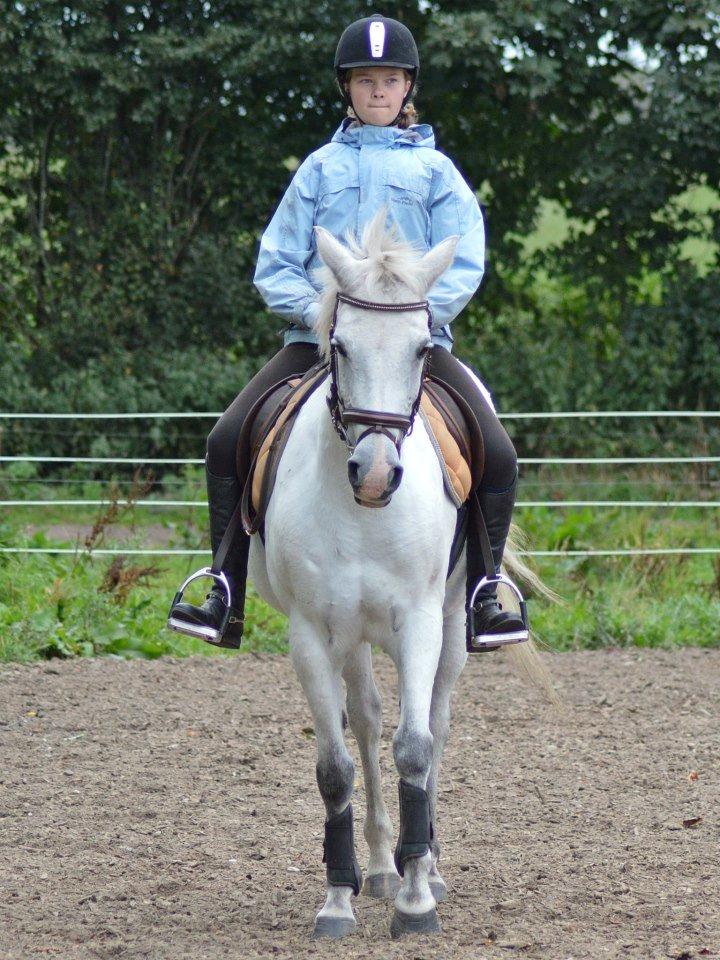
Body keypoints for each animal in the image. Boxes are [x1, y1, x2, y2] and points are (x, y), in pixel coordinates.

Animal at [248, 210, 552, 939]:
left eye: (420, 350)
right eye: (339, 346)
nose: (377, 473)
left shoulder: (418, 620)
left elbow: (415, 747)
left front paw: (418, 903)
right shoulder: (310, 633)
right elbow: (336, 767)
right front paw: (338, 898)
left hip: (449, 622)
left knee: (434, 723)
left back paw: (425, 866)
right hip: (353, 636)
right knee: (365, 721)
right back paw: (384, 866)